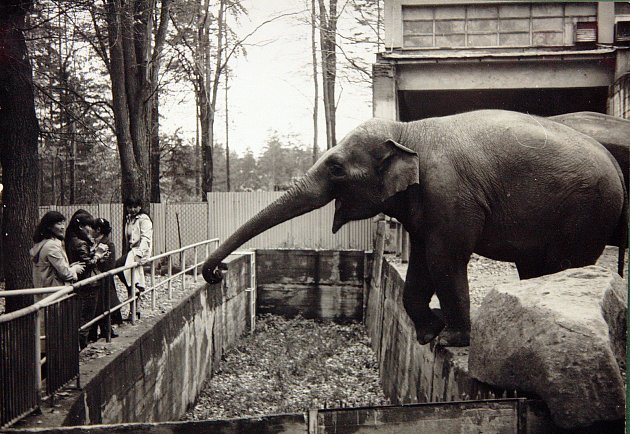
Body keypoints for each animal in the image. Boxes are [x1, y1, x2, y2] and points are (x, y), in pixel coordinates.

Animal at [205, 110, 628, 348]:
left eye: (336, 168)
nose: (216, 273)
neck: (406, 131)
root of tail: (616, 169)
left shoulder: (449, 190)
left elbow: (444, 257)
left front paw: (451, 340)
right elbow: (424, 257)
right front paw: (430, 332)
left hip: (586, 215)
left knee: (565, 265)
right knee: (535, 269)